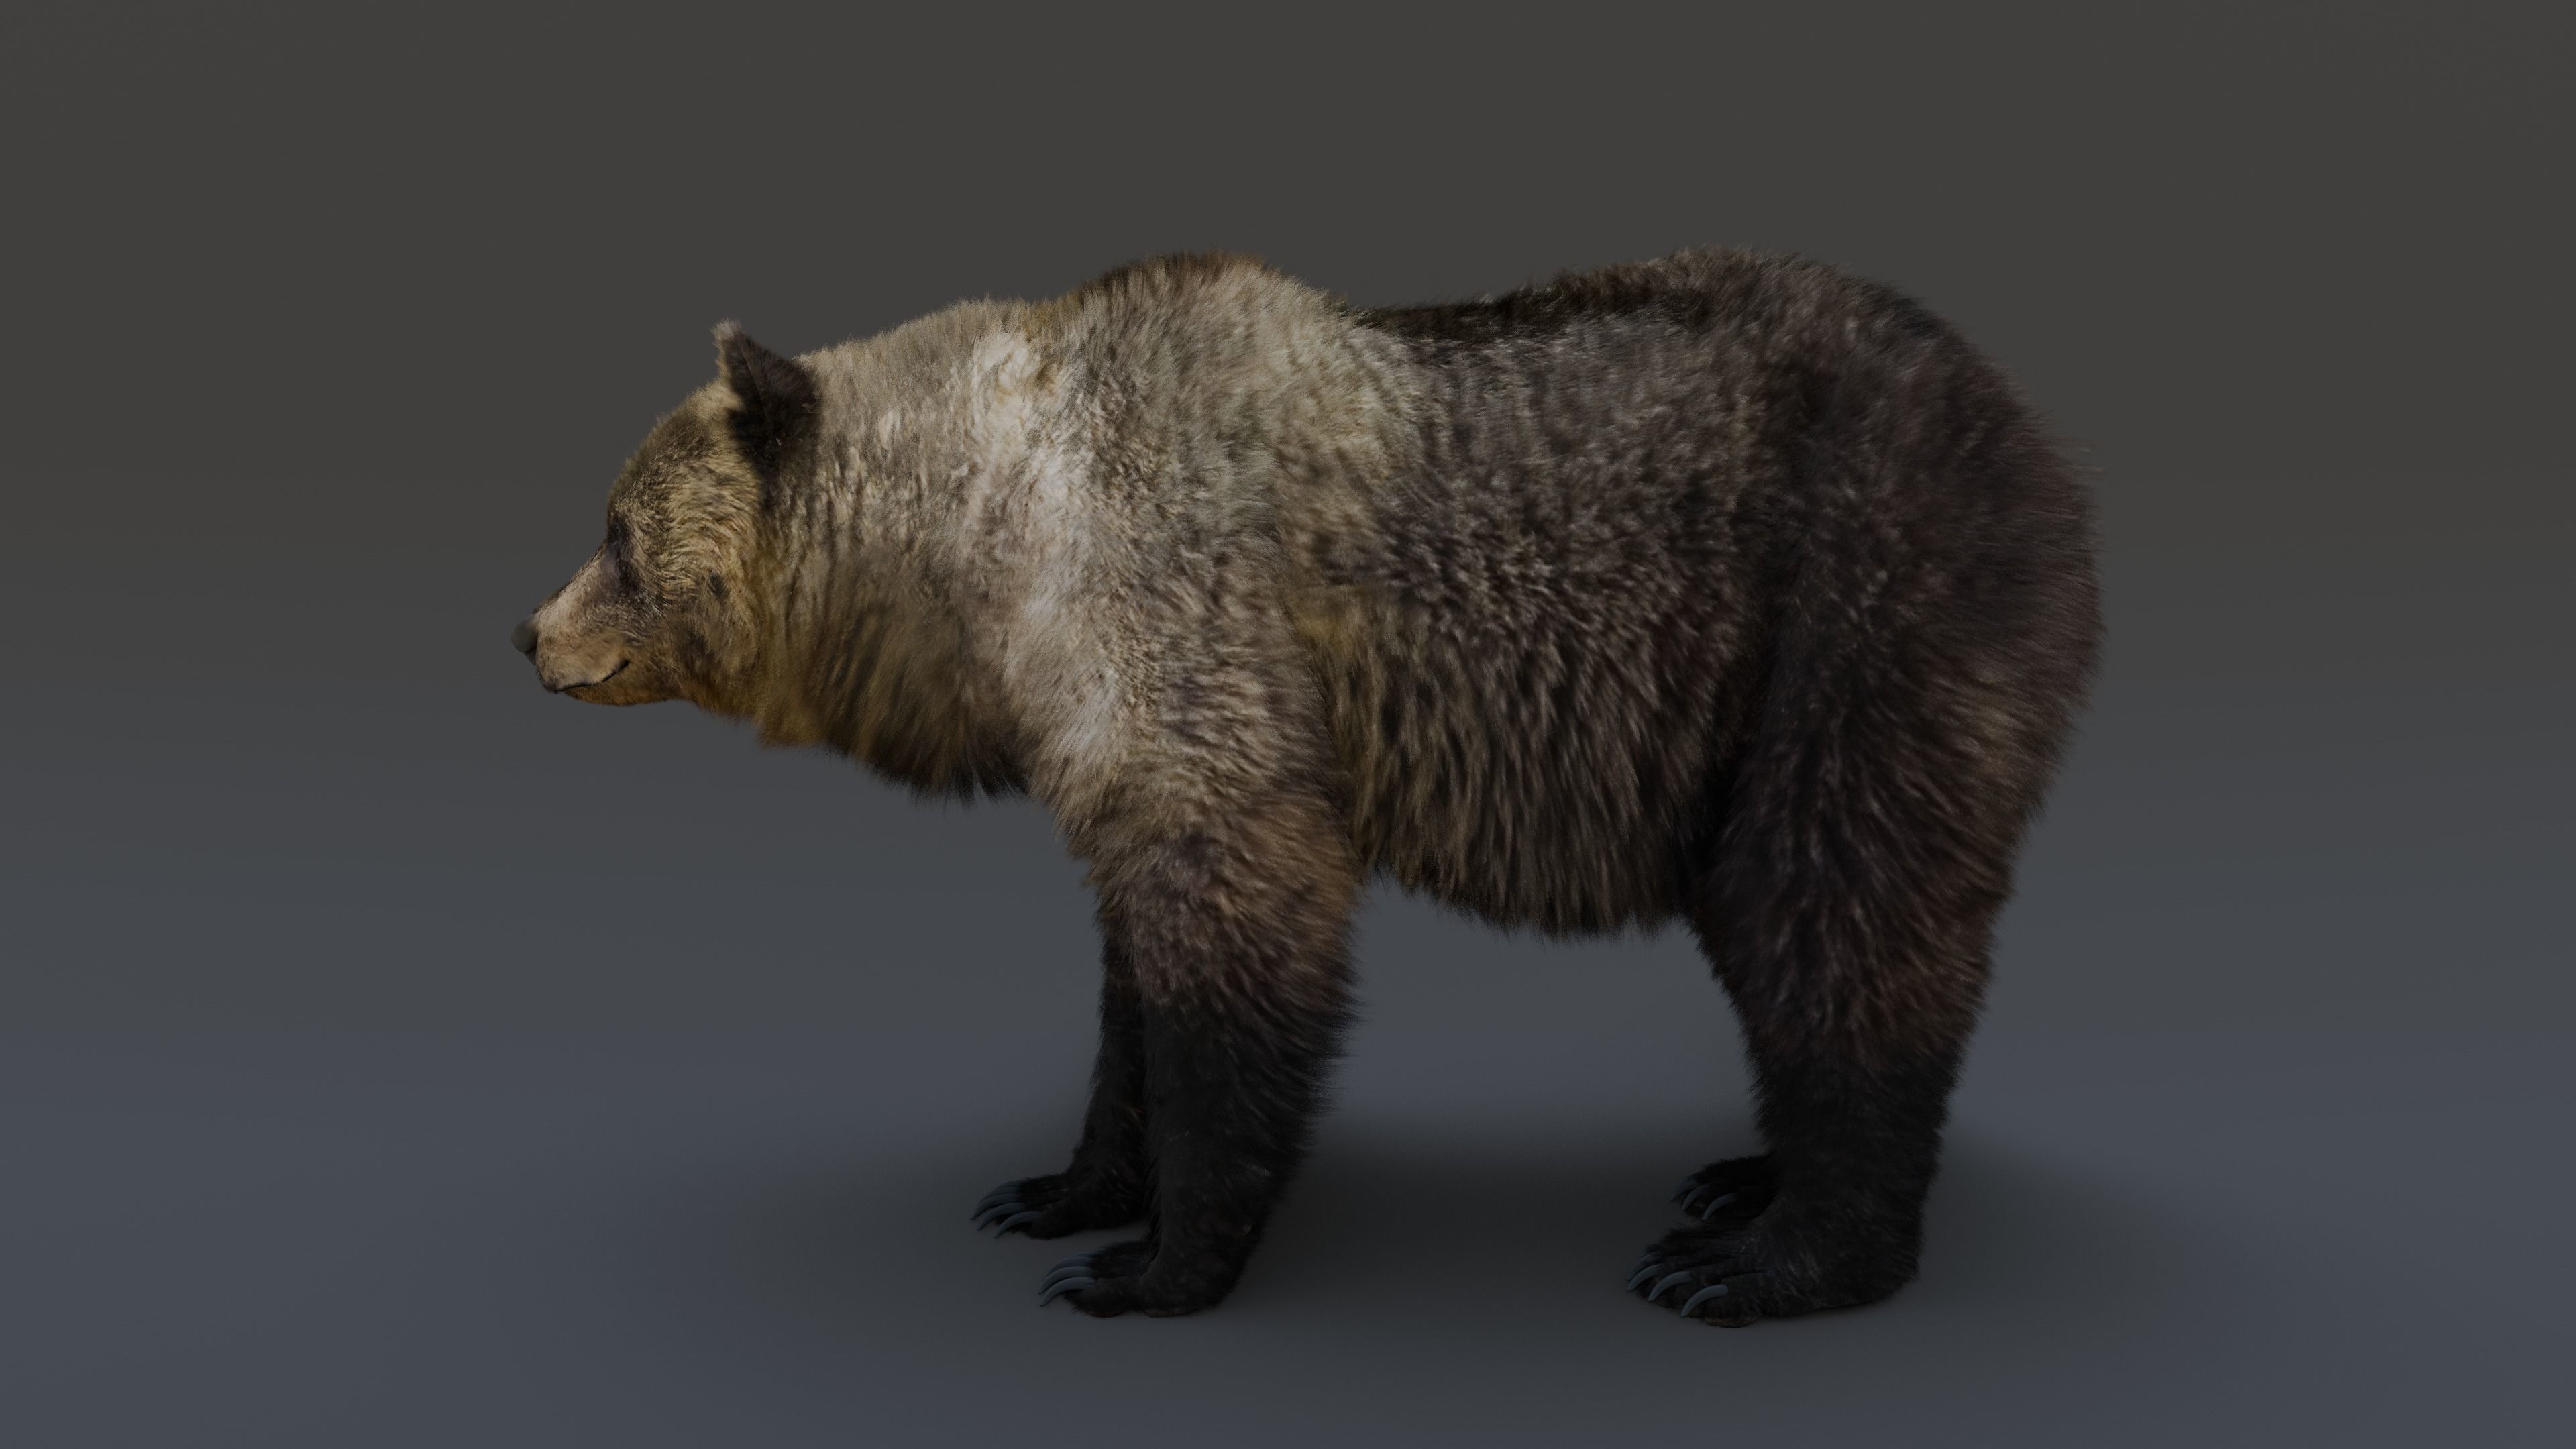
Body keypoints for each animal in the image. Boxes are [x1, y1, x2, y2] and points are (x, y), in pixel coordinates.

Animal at [511, 247, 2103, 1325]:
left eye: (618, 534)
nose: (528, 633)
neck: (990, 540)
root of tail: (2024, 420)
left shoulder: (1185, 619)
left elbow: (1238, 927)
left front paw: (1147, 1263)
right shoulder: (1095, 724)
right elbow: (1129, 972)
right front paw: (1057, 1188)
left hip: (1852, 614)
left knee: (1837, 904)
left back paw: (1762, 1256)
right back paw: (1740, 1178)